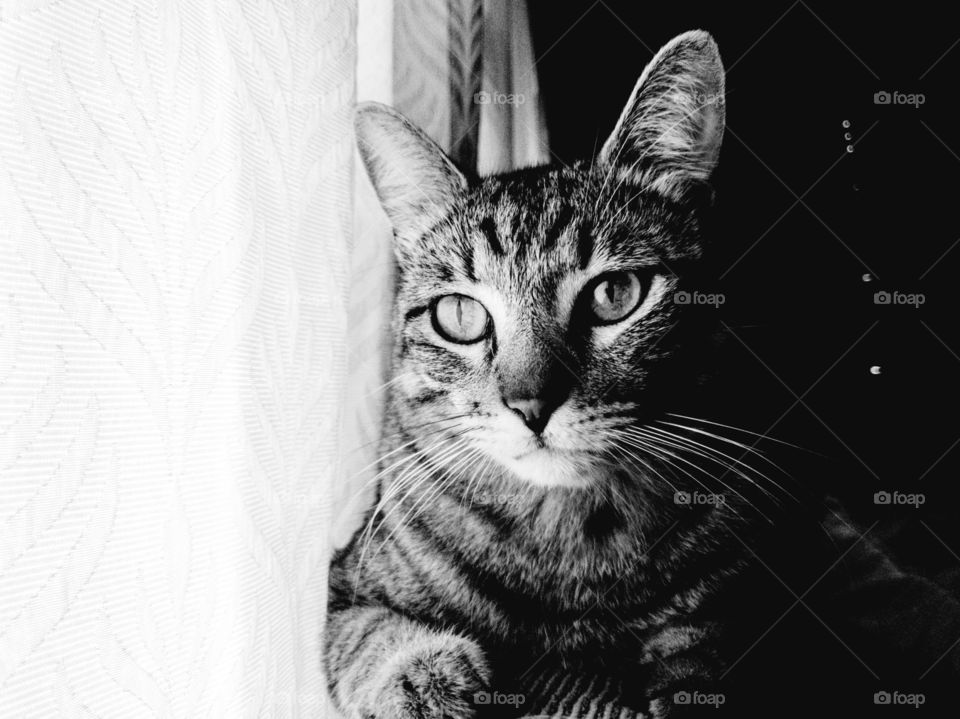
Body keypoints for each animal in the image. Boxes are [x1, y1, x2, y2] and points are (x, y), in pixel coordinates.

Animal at [322, 28, 952, 719]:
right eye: (460, 315)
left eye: (615, 294)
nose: (530, 405)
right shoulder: (345, 582)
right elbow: (370, 633)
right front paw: (424, 677)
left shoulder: (728, 607)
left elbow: (702, 658)